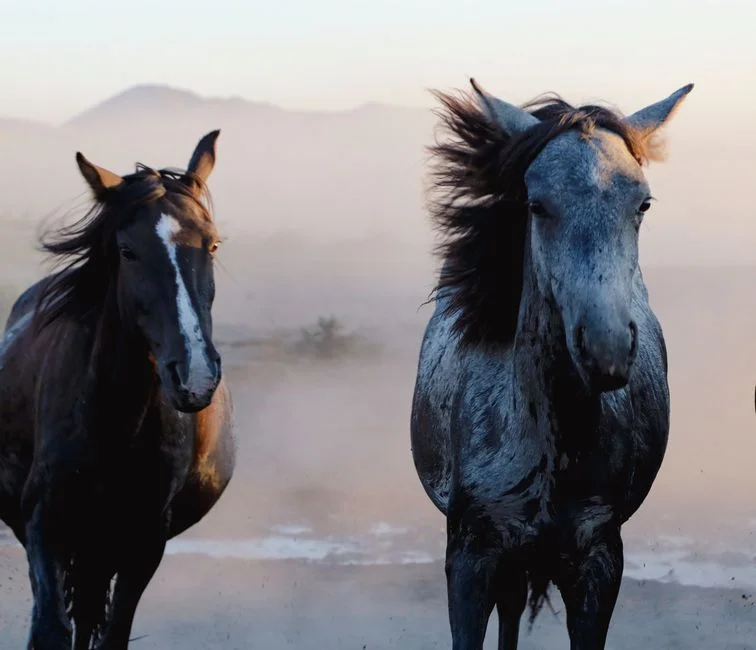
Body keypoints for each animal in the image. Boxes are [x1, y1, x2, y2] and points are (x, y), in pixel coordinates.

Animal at [0, 130, 236, 649]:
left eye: (212, 245)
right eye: (127, 251)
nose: (195, 375)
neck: (113, 422)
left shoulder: (143, 538)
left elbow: (113, 634)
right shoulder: (44, 524)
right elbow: (49, 629)